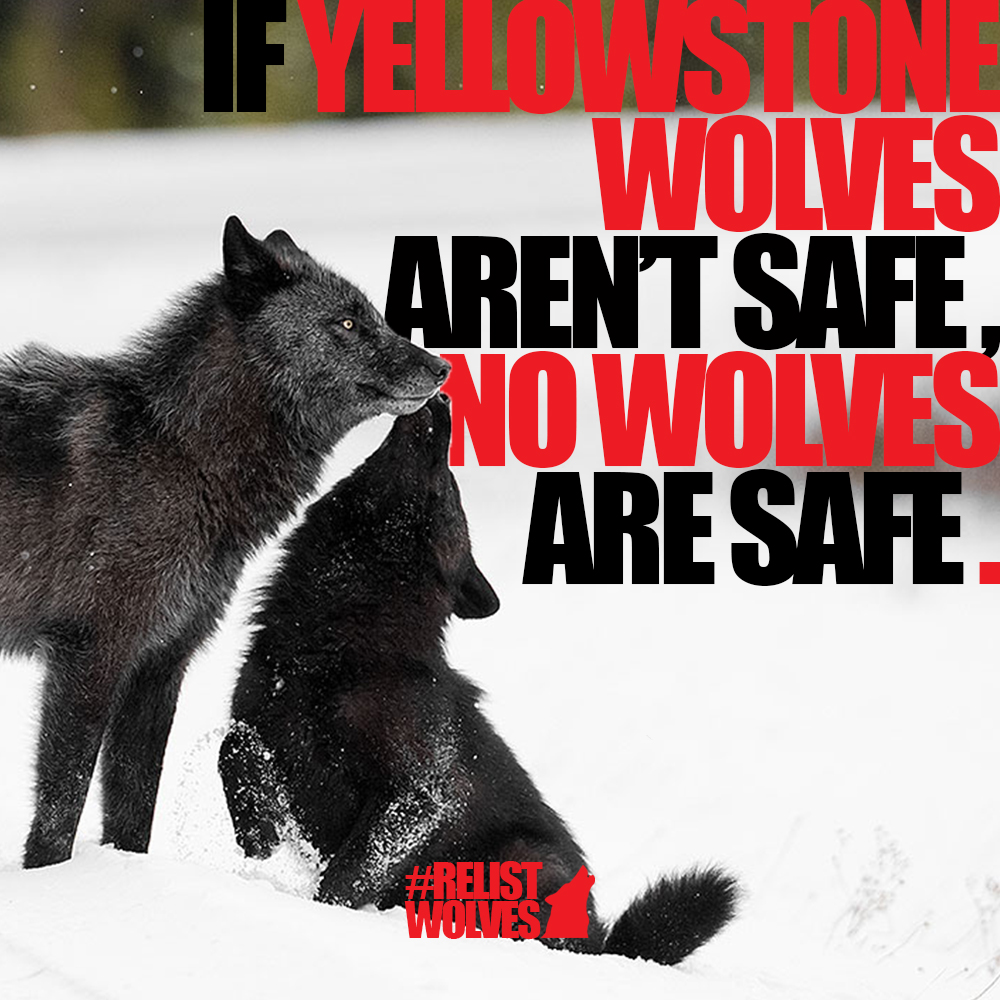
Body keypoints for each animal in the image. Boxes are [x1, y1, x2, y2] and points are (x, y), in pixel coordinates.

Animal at [1, 216, 449, 869]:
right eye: (346, 322)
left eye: (375, 316)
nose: (441, 369)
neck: (182, 454)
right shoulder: (90, 658)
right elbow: (61, 807)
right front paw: (53, 881)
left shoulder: (161, 664)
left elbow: (134, 807)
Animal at [219, 395, 738, 965]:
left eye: (450, 485)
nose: (445, 399)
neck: (337, 640)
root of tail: (603, 948)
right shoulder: (259, 714)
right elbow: (232, 751)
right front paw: (258, 835)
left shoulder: (421, 793)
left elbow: (346, 876)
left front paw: (318, 913)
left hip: (520, 859)